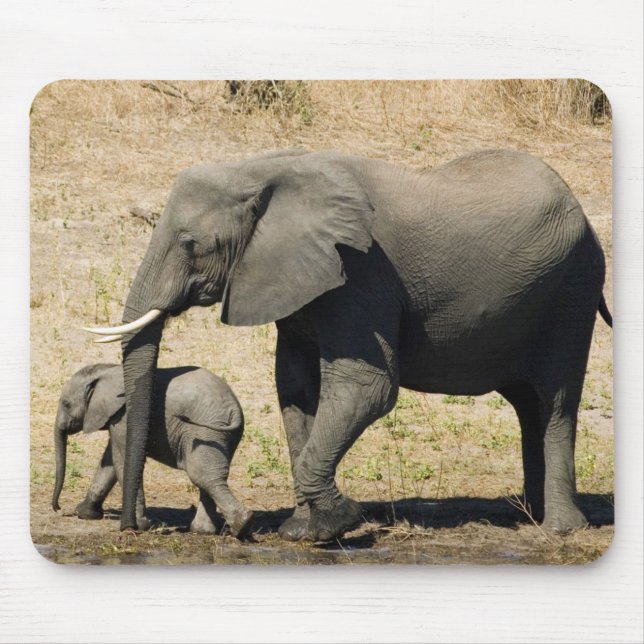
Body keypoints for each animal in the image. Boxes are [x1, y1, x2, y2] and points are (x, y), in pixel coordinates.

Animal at [52, 363, 254, 538]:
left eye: (66, 404)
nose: (58, 508)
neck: (108, 370)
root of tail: (235, 410)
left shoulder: (123, 417)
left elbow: (121, 460)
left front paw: (139, 526)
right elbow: (108, 462)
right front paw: (84, 513)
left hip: (205, 433)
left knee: (203, 476)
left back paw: (241, 525)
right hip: (223, 435)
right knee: (209, 477)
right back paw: (205, 530)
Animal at [85, 148, 612, 541]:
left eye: (191, 244)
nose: (135, 528)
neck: (261, 170)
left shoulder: (362, 272)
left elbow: (368, 389)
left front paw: (338, 523)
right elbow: (296, 389)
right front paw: (302, 531)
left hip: (572, 289)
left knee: (555, 400)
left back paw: (559, 529)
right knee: (528, 404)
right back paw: (526, 513)